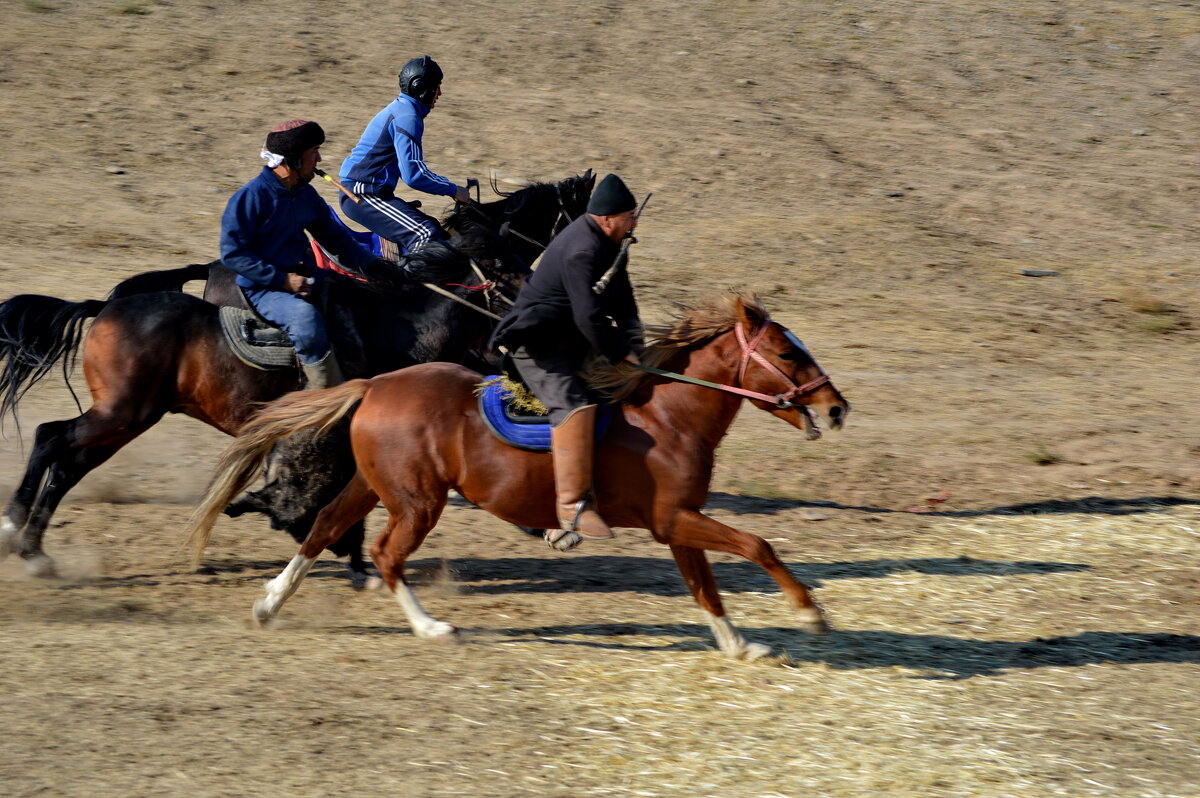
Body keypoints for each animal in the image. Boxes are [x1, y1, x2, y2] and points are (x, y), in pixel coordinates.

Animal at [0, 172, 595, 578]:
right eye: (501, 262)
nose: (537, 304)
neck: (405, 324)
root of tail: (104, 307)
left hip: (128, 417)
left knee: (67, 462)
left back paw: (35, 549)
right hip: (121, 412)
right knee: (51, 438)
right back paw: (16, 530)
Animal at [182, 295, 849, 657]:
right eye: (787, 354)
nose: (836, 406)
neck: (667, 415)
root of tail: (375, 384)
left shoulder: (677, 523)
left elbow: (705, 587)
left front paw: (739, 645)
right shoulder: (676, 518)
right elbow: (757, 546)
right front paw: (809, 615)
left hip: (372, 487)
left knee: (323, 528)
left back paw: (269, 605)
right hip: (418, 502)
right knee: (386, 553)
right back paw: (433, 628)